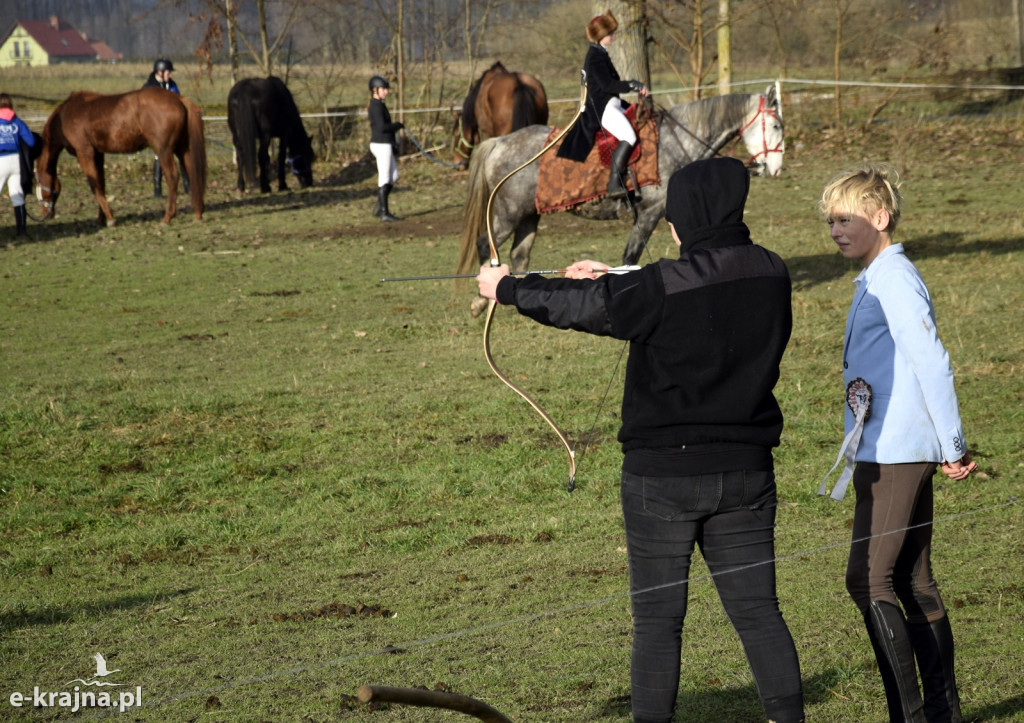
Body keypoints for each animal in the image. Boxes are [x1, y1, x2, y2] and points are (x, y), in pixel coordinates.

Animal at [36, 89, 207, 226]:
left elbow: (94, 185)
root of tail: (178, 98)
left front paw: (110, 218)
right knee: (193, 173)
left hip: (163, 151)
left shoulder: (85, 153)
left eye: (40, 186)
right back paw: (198, 212)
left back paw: (167, 217)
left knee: (172, 176)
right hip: (182, 148)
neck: (66, 115)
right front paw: (101, 218)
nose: (45, 214)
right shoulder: (98, 155)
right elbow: (101, 183)